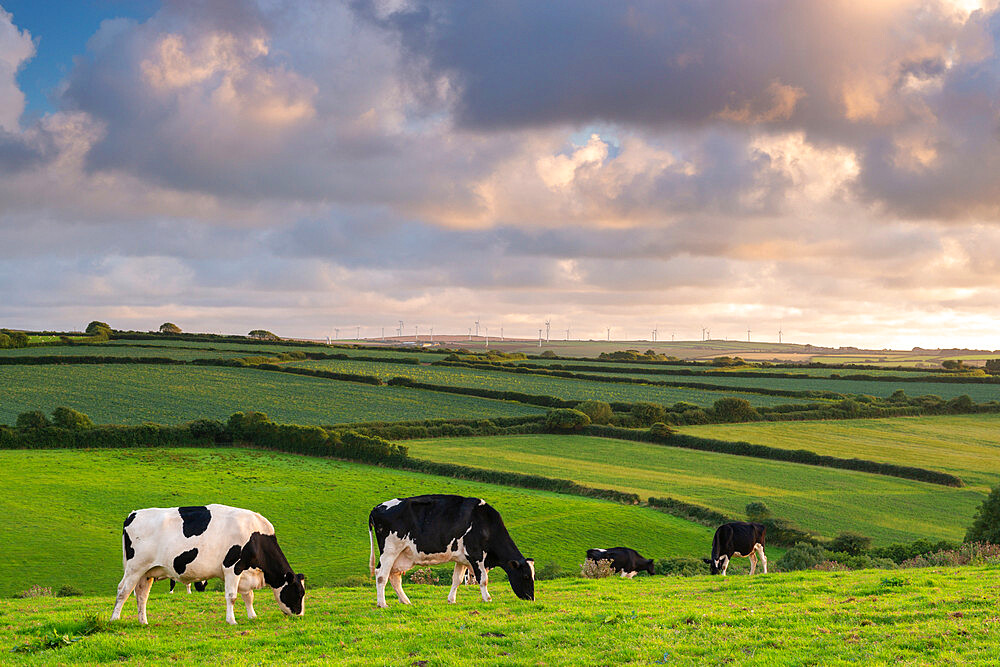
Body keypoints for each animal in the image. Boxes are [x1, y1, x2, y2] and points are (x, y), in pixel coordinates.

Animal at [110, 506, 304, 628]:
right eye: (299, 592)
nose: (300, 615)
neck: (256, 536)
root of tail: (133, 514)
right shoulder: (232, 566)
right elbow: (232, 596)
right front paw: (231, 621)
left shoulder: (245, 572)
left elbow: (248, 596)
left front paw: (252, 616)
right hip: (134, 567)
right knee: (123, 591)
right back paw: (114, 619)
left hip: (147, 572)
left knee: (141, 595)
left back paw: (143, 622)